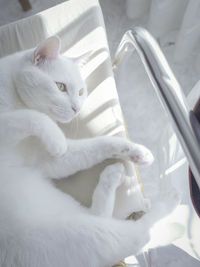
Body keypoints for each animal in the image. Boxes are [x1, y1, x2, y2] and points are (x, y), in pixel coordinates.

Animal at [0, 36, 179, 267]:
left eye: (80, 92)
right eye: (60, 86)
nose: (77, 108)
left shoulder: (45, 160)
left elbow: (98, 145)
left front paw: (137, 151)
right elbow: (30, 117)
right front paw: (56, 139)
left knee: (101, 214)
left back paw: (113, 175)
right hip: (88, 235)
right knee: (140, 232)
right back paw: (168, 200)